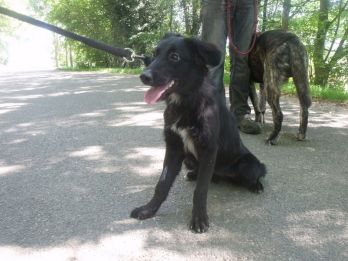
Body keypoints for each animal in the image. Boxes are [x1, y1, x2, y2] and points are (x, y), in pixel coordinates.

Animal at [130, 34, 266, 232]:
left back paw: (256, 185)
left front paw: (199, 219)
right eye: (154, 54)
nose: (143, 76)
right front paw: (149, 210)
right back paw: (195, 174)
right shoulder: (174, 147)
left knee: (255, 174)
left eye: (174, 57)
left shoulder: (209, 149)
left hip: (248, 165)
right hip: (189, 159)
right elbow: (162, 184)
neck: (186, 102)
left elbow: (200, 190)